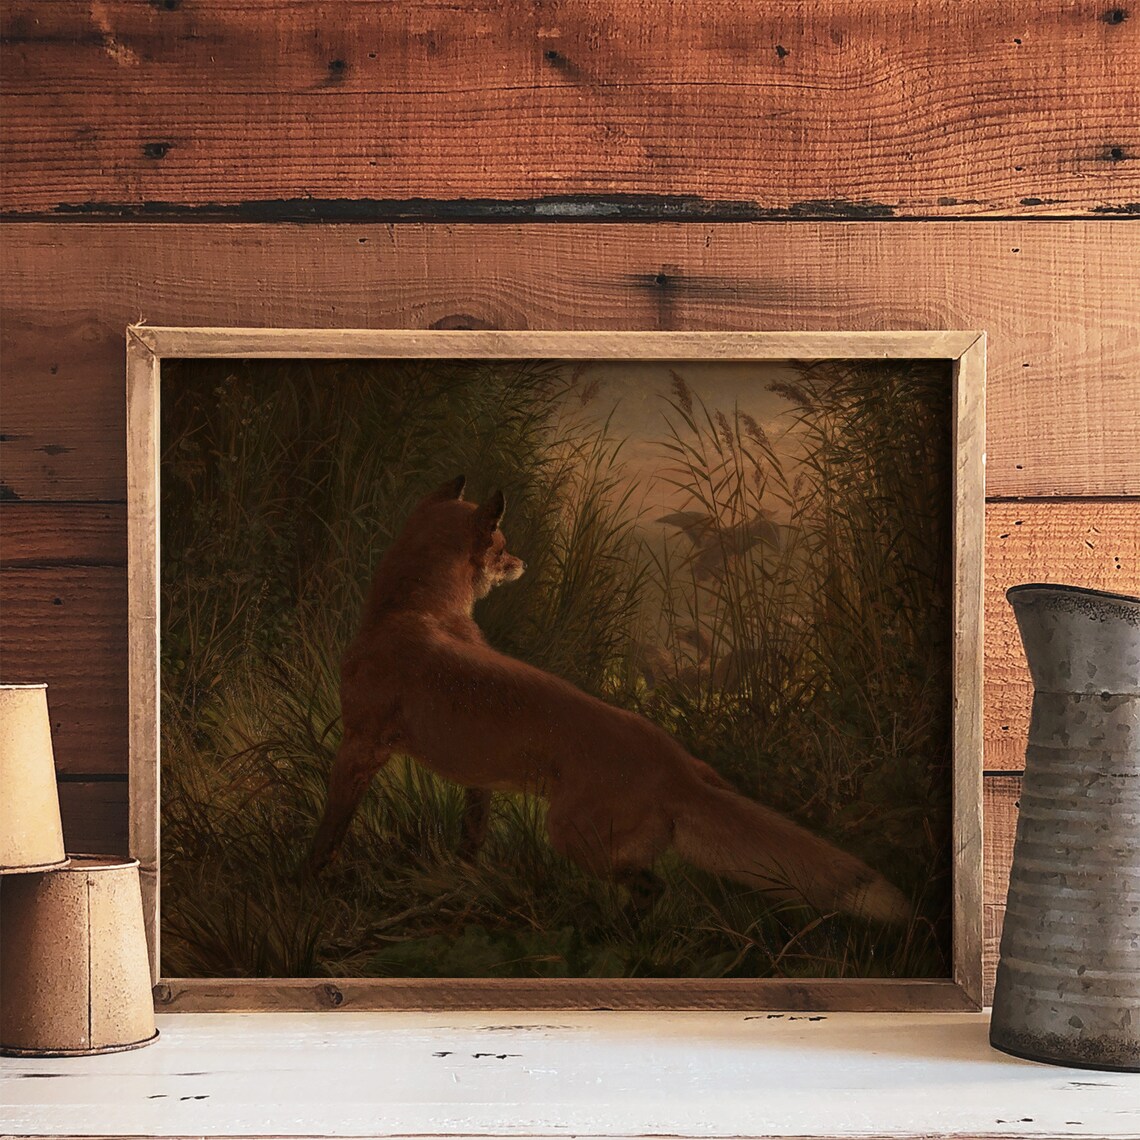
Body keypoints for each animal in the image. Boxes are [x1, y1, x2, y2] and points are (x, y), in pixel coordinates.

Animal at [308, 475, 911, 926]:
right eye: (502, 548)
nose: (522, 563)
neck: (413, 612)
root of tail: (676, 766)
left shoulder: (359, 745)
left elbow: (329, 831)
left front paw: (309, 884)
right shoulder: (476, 779)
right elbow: (471, 838)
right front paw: (462, 878)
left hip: (570, 835)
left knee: (653, 887)